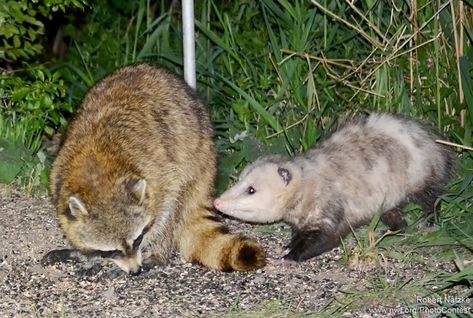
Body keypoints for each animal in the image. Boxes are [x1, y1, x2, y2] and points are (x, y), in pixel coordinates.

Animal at [47, 62, 266, 274]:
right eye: (111, 250)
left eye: (137, 239)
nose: (135, 270)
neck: (97, 169)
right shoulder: (58, 173)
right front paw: (87, 254)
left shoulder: (160, 170)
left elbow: (164, 213)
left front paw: (153, 246)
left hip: (195, 155)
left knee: (176, 207)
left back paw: (161, 250)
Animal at [214, 113, 454, 260]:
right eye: (239, 180)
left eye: (251, 189)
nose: (217, 201)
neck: (307, 182)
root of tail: (436, 142)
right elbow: (300, 234)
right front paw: (289, 245)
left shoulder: (332, 209)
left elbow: (327, 238)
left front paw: (292, 256)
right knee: (395, 216)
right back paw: (390, 230)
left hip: (423, 178)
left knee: (431, 199)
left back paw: (429, 221)